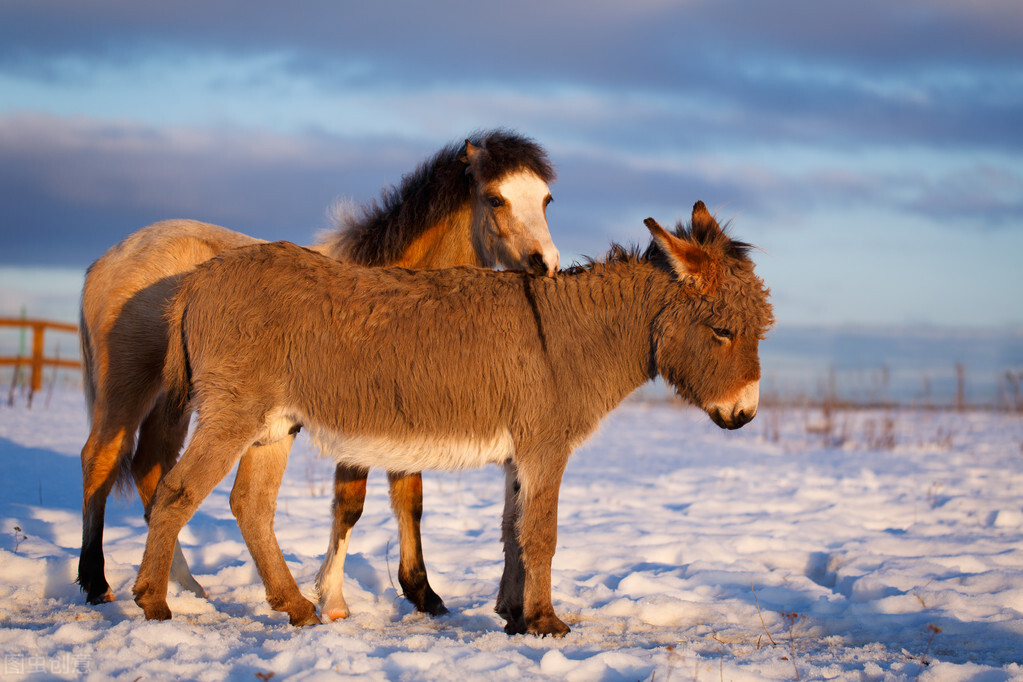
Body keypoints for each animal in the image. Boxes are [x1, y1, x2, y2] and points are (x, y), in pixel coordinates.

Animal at [76, 129, 560, 617]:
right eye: (495, 198)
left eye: (546, 199)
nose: (547, 264)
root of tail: (109, 258)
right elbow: (351, 505)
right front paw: (335, 600)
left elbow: (411, 500)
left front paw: (422, 592)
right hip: (129, 388)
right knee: (100, 459)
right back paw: (99, 582)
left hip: (174, 402)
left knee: (149, 466)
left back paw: (187, 585)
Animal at [134, 202, 773, 633]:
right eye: (722, 331)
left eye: (760, 330)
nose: (744, 416)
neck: (572, 336)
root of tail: (198, 279)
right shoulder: (545, 447)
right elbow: (542, 533)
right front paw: (547, 623)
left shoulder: (520, 454)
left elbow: (512, 531)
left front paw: (514, 616)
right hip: (233, 413)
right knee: (177, 491)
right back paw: (153, 602)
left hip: (272, 427)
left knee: (250, 506)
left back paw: (296, 608)